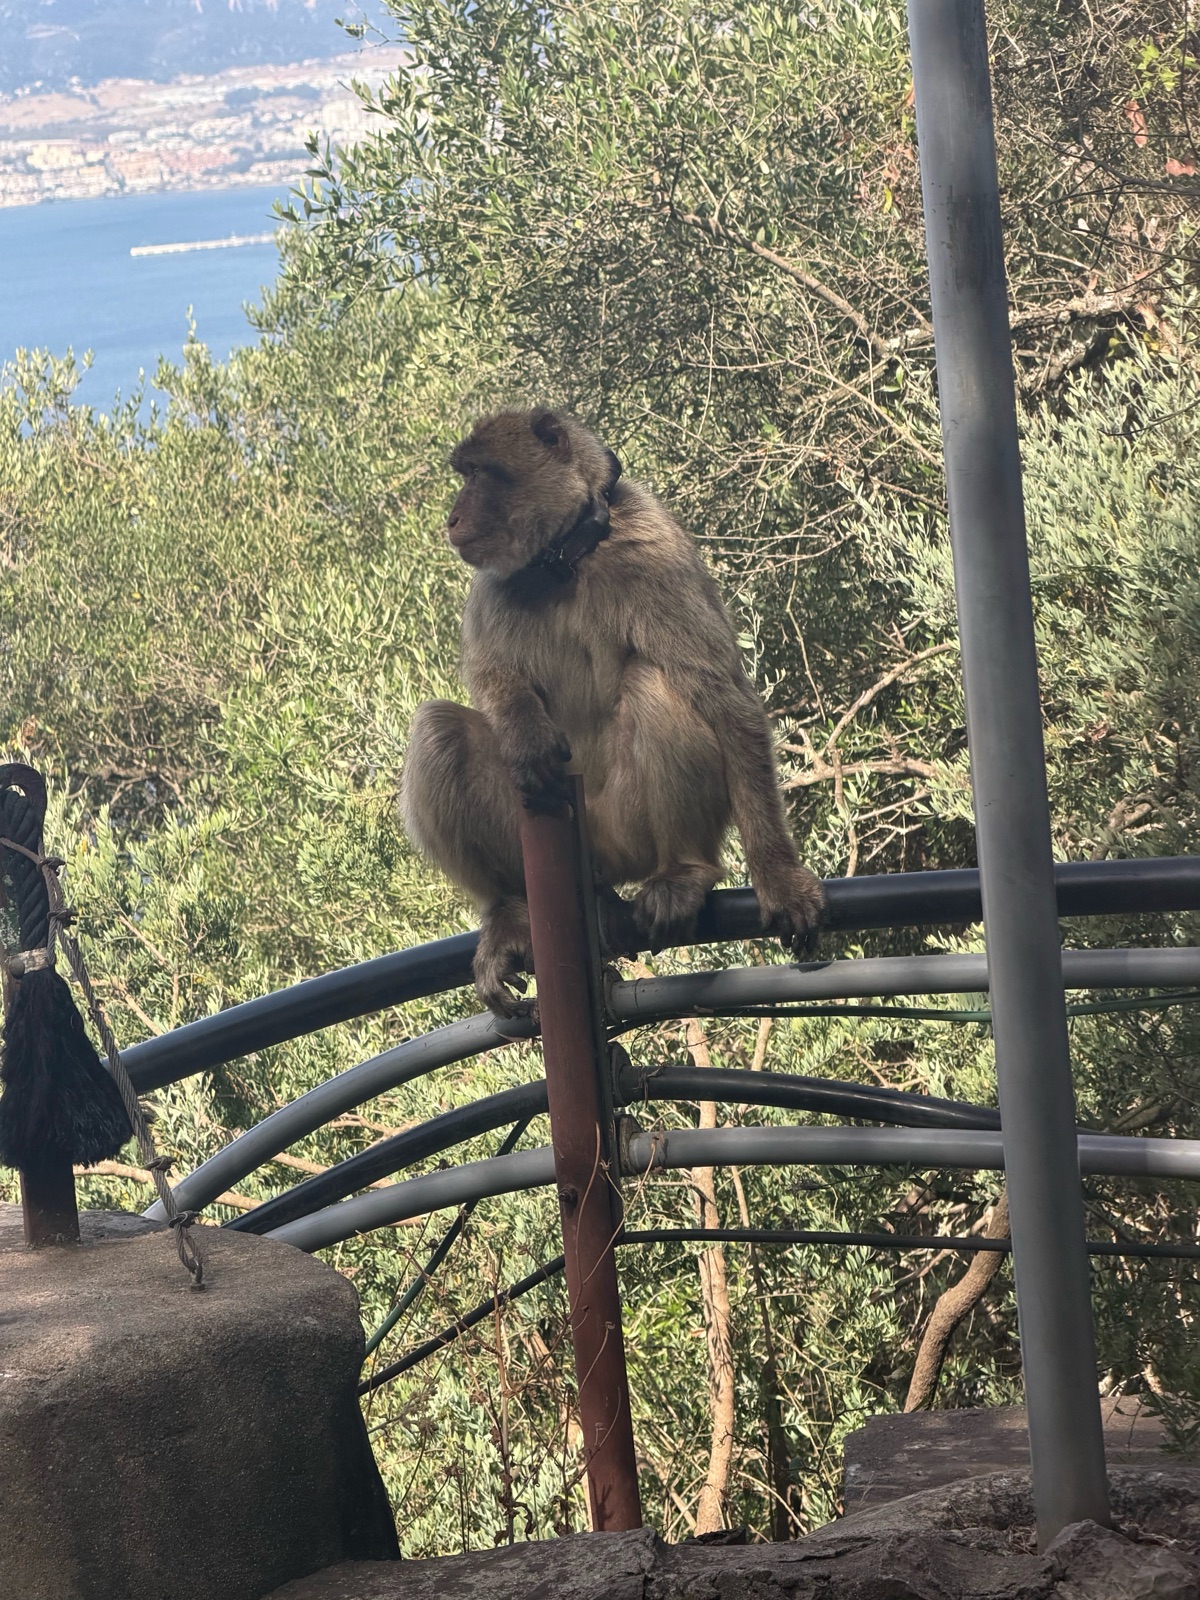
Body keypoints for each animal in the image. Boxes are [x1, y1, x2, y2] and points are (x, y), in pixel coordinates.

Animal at [400, 407, 825, 1016]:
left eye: (480, 473)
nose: (453, 518)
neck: (566, 557)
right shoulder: (494, 584)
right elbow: (491, 676)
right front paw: (525, 732)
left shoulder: (654, 555)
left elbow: (723, 697)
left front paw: (780, 879)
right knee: (440, 730)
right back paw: (507, 911)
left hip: (628, 828)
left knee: (654, 683)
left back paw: (684, 873)